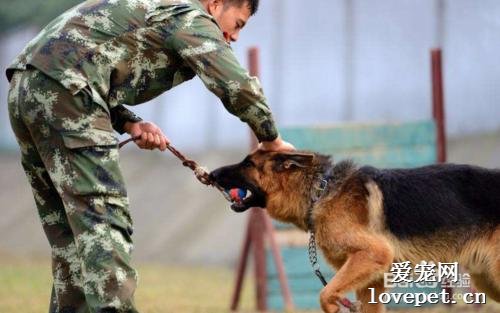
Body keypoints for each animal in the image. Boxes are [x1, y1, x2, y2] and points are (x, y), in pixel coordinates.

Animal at [211, 150, 500, 310]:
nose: (212, 175)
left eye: (248, 164)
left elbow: (326, 293)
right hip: (486, 280)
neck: (321, 192)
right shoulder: (372, 281)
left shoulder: (374, 254)